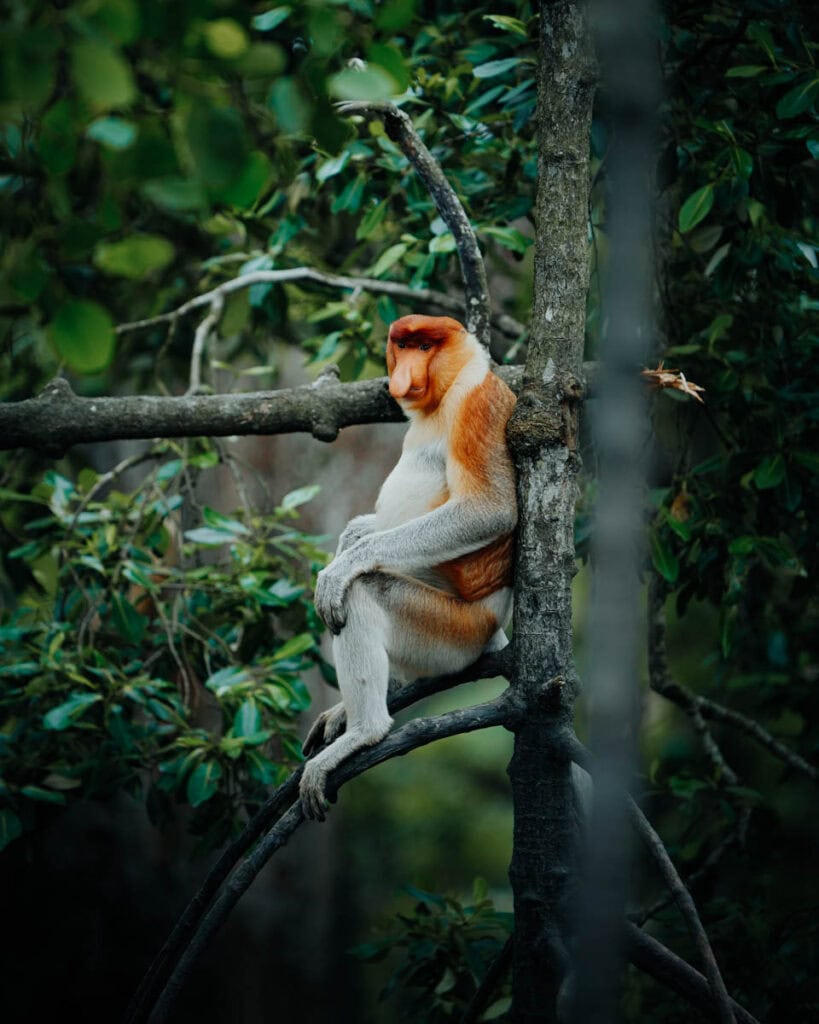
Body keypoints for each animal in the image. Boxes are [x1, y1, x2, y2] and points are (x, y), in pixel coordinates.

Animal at [303, 315, 515, 819]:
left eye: (424, 347)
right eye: (401, 345)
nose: (402, 375)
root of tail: (493, 630)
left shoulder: (477, 404)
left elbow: (489, 511)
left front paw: (342, 567)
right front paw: (352, 537)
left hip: (452, 632)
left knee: (363, 595)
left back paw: (365, 731)